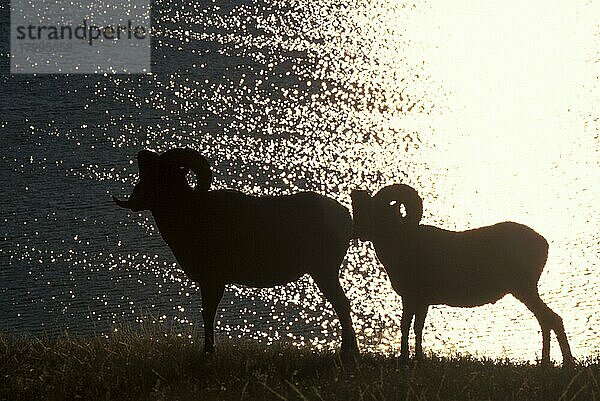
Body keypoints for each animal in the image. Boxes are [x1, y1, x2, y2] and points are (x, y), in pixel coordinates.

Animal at [113, 148, 356, 352]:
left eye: (158, 170)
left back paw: (347, 353)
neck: (190, 215)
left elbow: (208, 313)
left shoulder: (212, 281)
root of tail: (344, 215)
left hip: (323, 272)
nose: (142, 155)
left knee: (342, 305)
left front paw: (208, 352)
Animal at [352, 184, 576, 366]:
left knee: (552, 319)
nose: (358, 233)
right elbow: (417, 328)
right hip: (525, 291)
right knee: (546, 320)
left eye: (378, 212)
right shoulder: (422, 301)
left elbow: (407, 326)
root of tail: (543, 243)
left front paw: (407, 358)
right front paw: (417, 358)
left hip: (524, 289)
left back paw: (565, 363)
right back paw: (547, 363)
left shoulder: (412, 298)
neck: (402, 244)